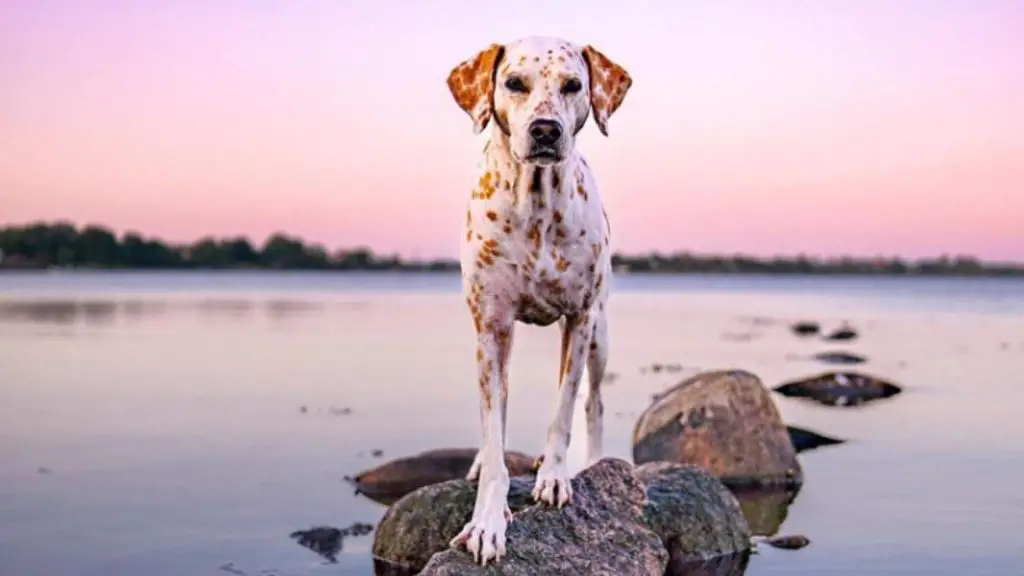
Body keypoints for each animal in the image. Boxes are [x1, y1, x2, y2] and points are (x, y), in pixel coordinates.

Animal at [442, 36, 626, 565]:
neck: (538, 204)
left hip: (601, 338)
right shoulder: (491, 326)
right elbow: (494, 433)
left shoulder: (580, 318)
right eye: (514, 83)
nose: (546, 130)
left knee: (594, 402)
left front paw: (555, 477)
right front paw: (487, 520)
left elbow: (564, 410)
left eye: (573, 85)